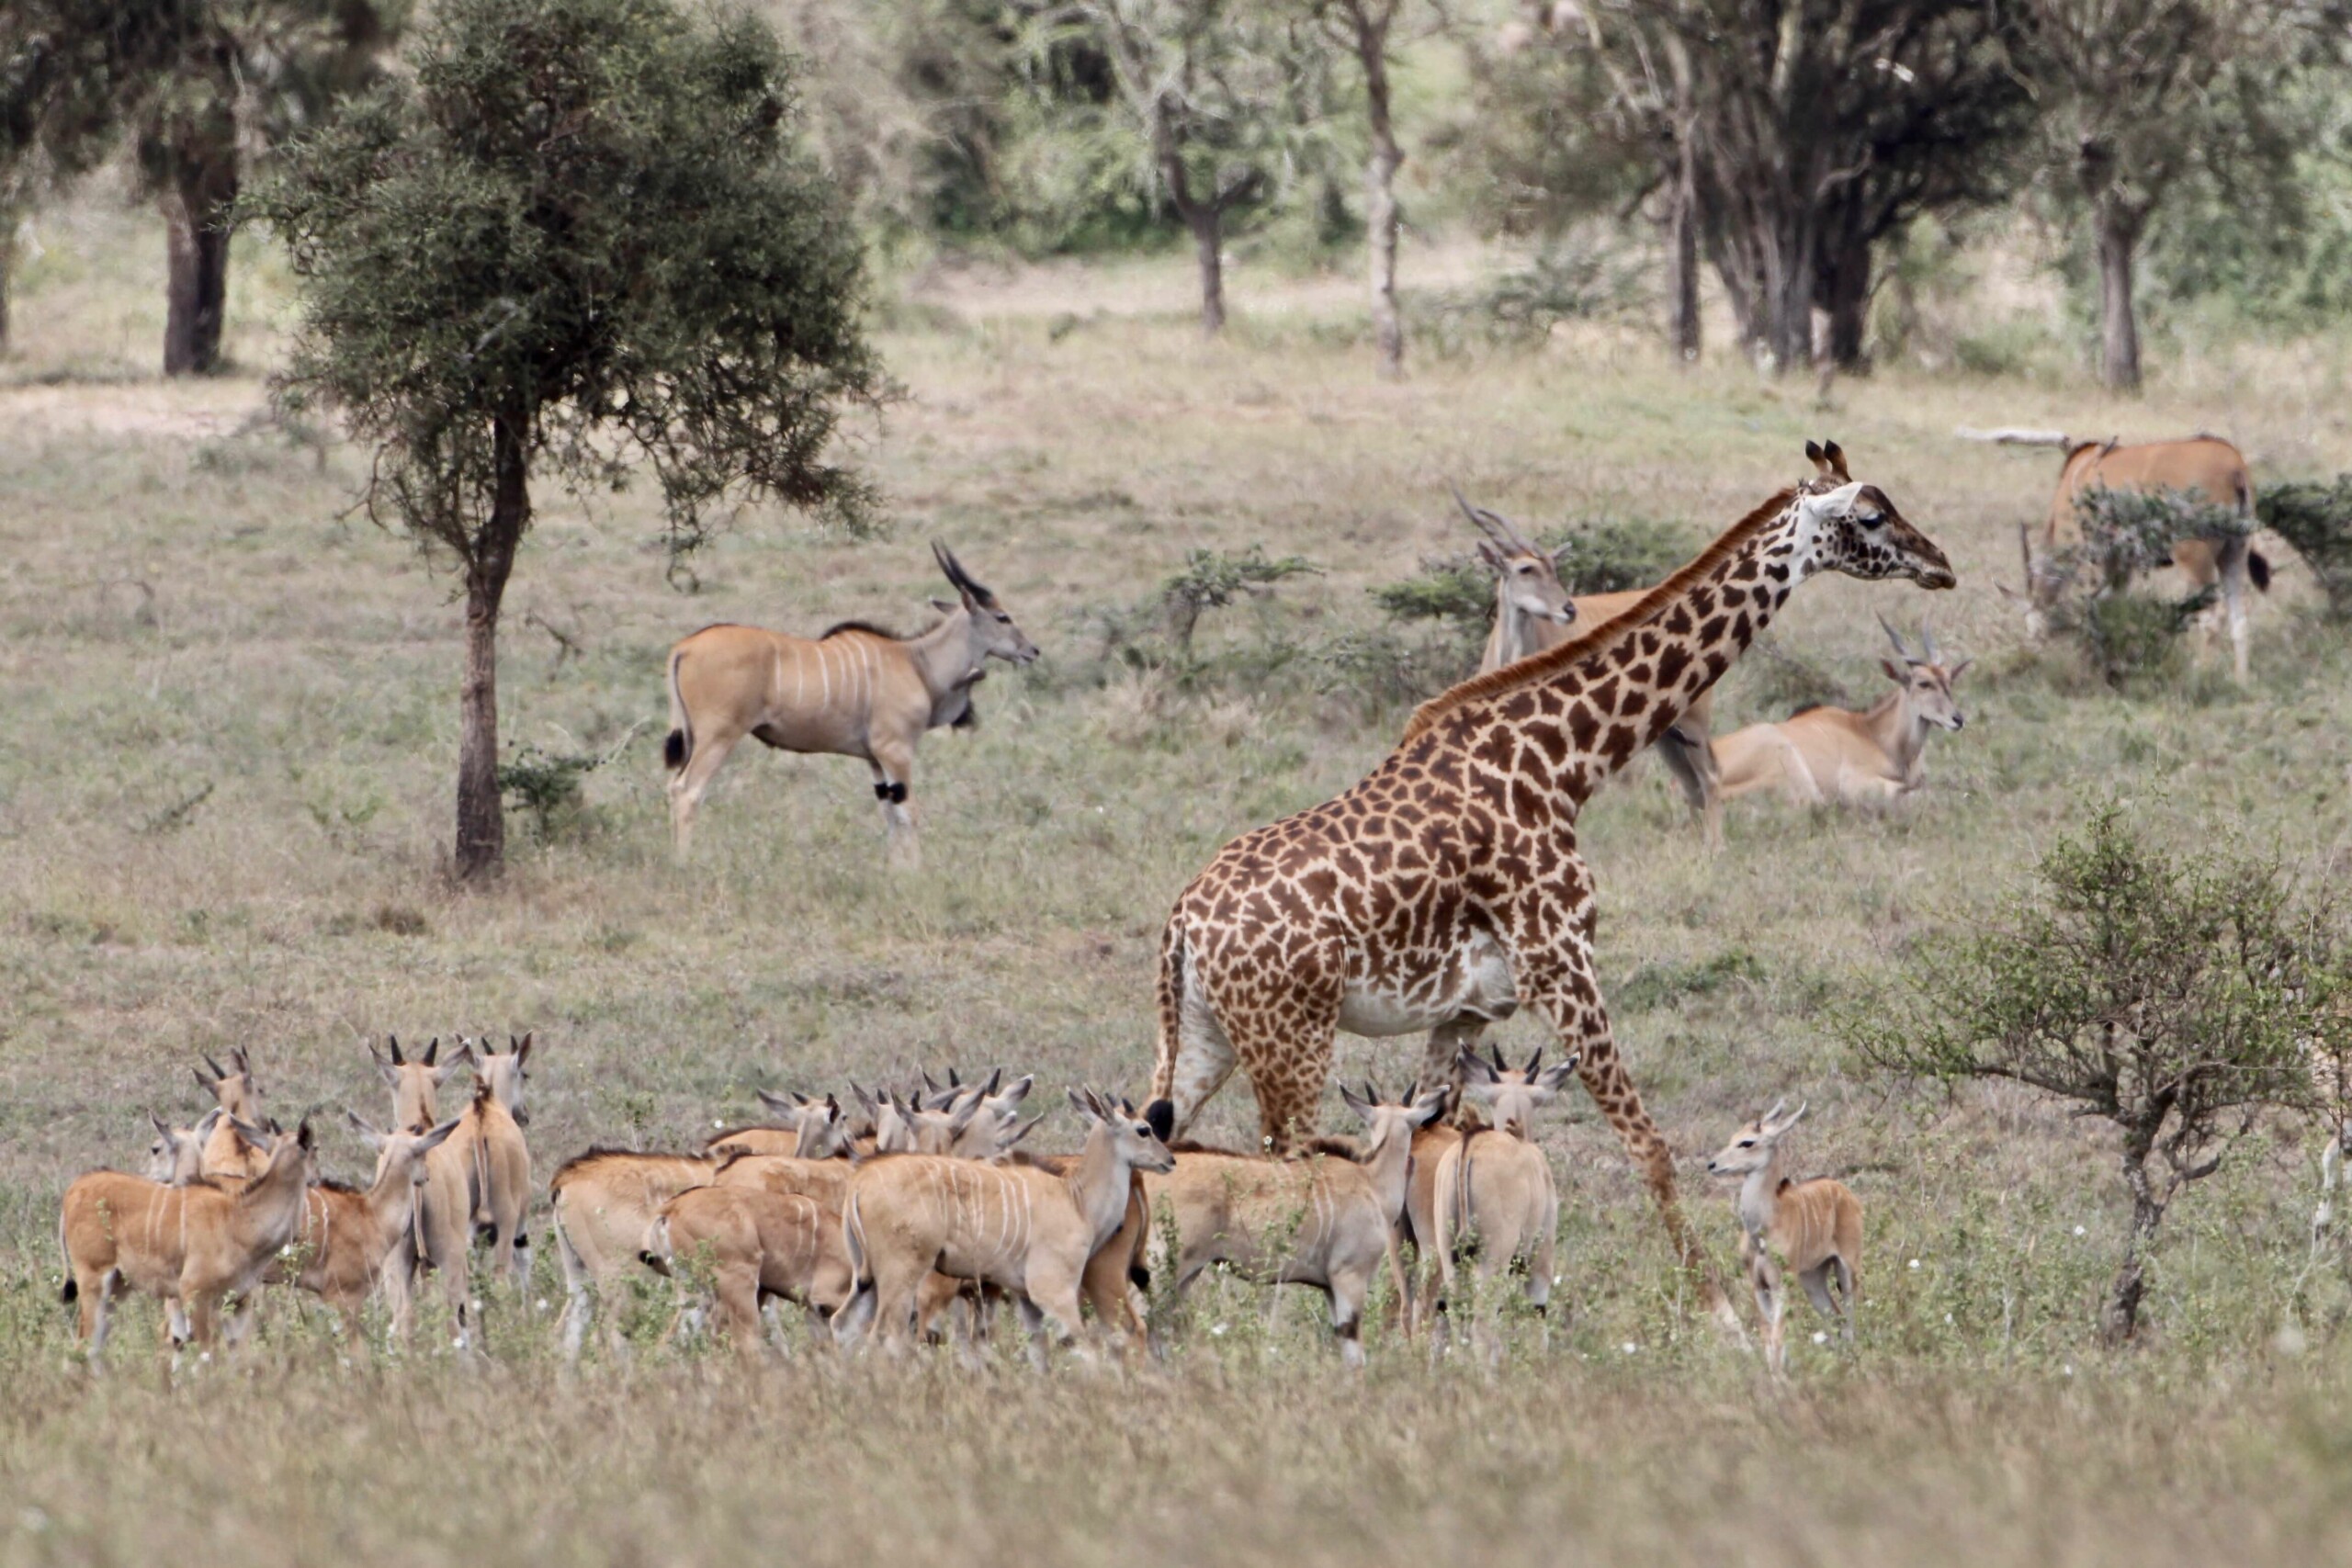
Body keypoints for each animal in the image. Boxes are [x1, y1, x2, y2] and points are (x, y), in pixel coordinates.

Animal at [1144, 442, 1954, 1292]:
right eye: (1871, 515)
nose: (1941, 563)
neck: (1563, 762)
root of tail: (1183, 923)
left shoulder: (1465, 1008)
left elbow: (1445, 1142)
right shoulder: (1563, 967)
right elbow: (1649, 1145)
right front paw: (1716, 1301)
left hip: (1205, 1036)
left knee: (1158, 1138)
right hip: (1291, 1040)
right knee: (1280, 1162)